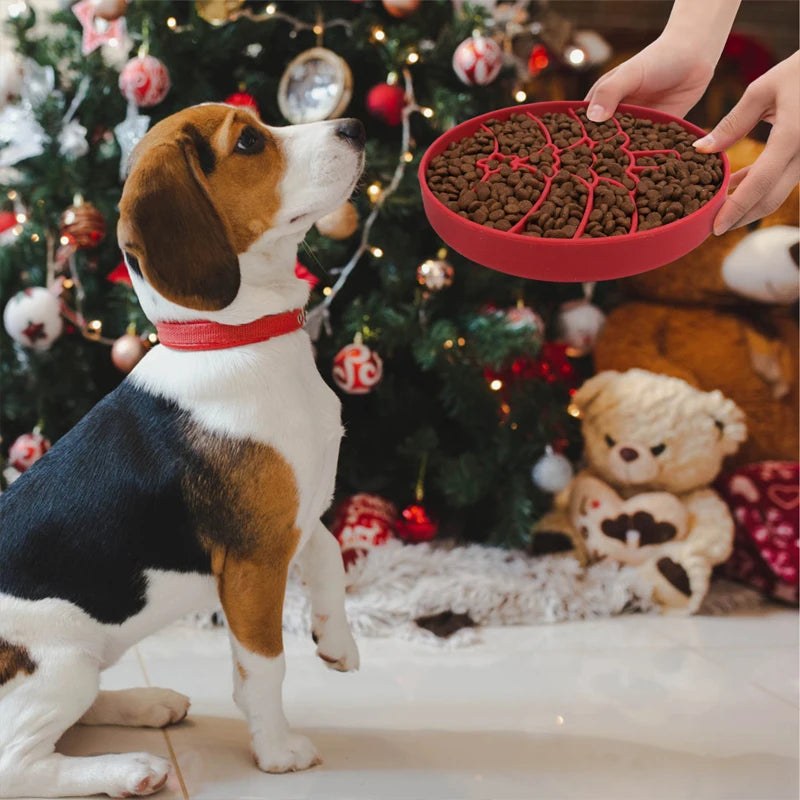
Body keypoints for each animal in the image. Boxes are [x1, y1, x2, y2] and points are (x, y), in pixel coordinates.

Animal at [1, 103, 364, 796]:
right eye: (248, 142)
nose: (354, 127)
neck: (232, 337)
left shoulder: (294, 518)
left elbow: (331, 557)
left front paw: (336, 641)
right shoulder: (254, 561)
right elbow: (264, 668)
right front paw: (278, 752)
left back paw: (145, 704)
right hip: (61, 660)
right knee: (20, 763)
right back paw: (129, 769)